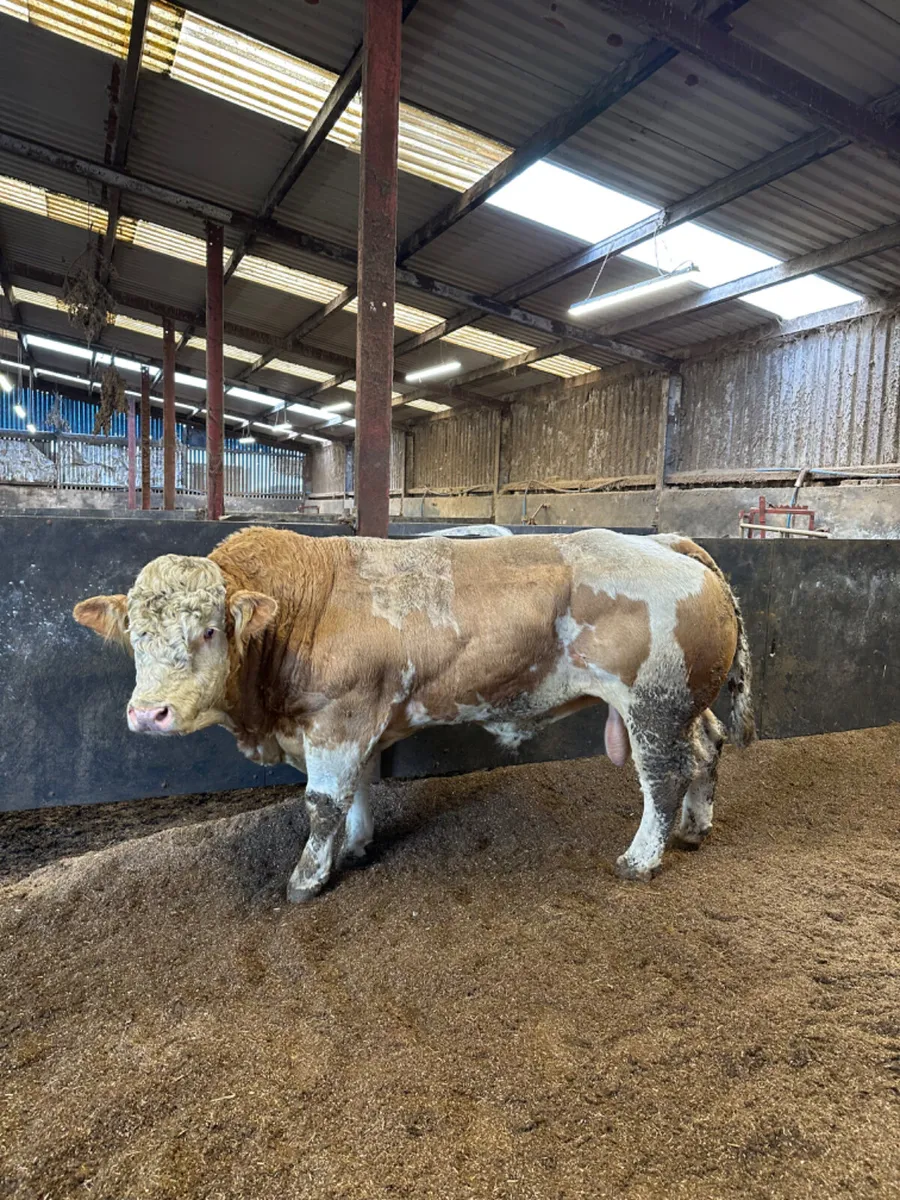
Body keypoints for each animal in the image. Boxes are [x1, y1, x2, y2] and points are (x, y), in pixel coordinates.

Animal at [73, 526, 755, 902]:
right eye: (134, 632)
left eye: (210, 630)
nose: (150, 713)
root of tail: (661, 541)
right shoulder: (356, 725)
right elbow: (355, 793)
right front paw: (354, 847)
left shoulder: (339, 718)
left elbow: (322, 804)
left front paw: (307, 879)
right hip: (683, 704)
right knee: (706, 749)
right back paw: (694, 829)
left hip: (653, 706)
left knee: (662, 778)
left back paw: (641, 859)